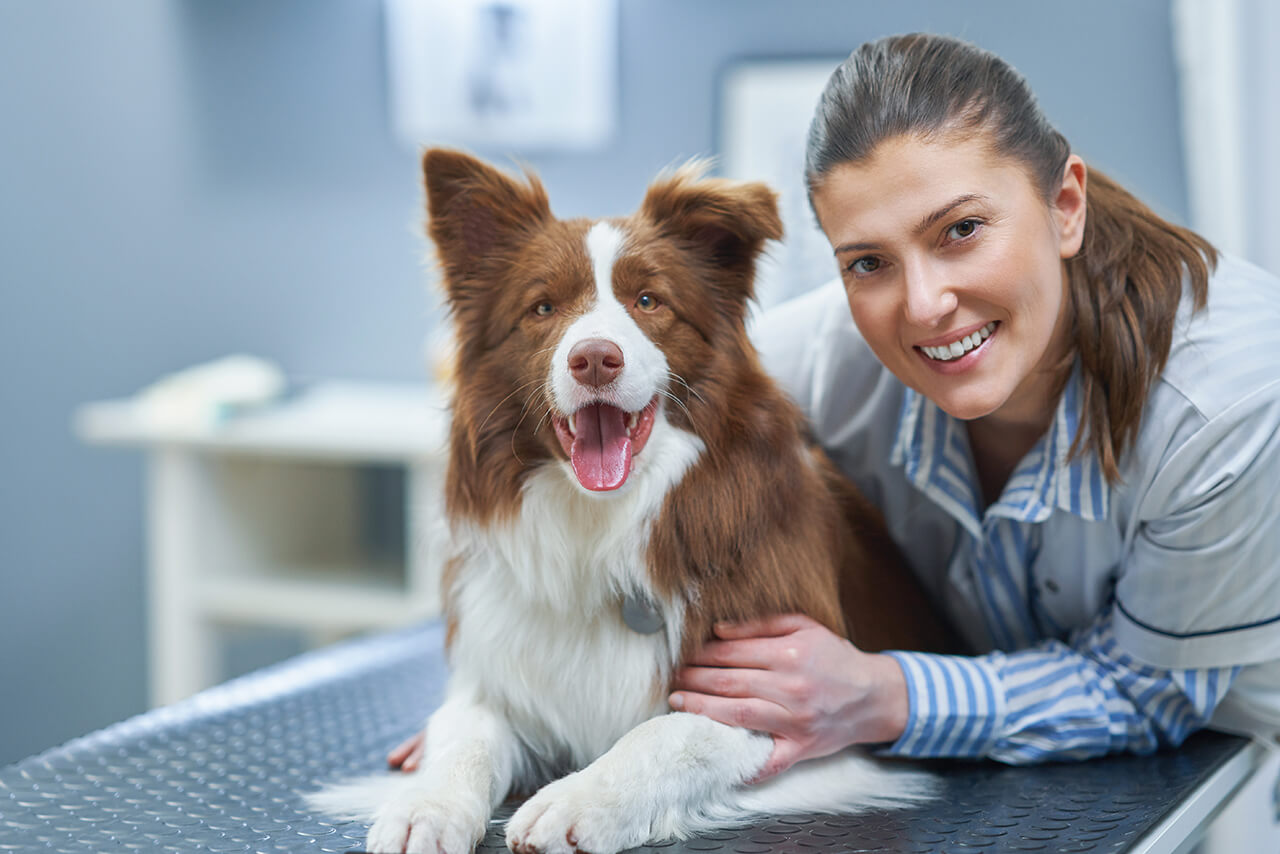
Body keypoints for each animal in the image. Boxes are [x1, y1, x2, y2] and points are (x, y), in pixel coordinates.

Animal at [307, 150, 952, 850]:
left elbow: (668, 734)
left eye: (649, 301)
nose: (594, 358)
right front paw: (425, 804)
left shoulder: (788, 701)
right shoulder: (499, 673)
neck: (598, 521)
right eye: (542, 307)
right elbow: (464, 734)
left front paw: (579, 799)